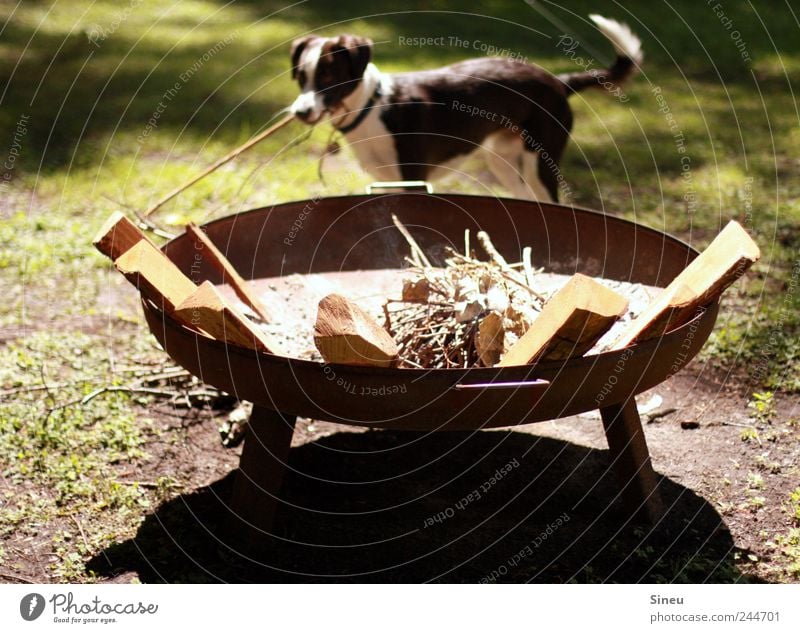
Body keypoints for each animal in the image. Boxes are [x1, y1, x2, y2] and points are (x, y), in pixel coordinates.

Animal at [288, 15, 644, 200]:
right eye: (301, 77)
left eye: (328, 75)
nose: (300, 113)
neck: (374, 107)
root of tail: (558, 80)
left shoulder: (414, 179)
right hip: (503, 160)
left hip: (539, 163)